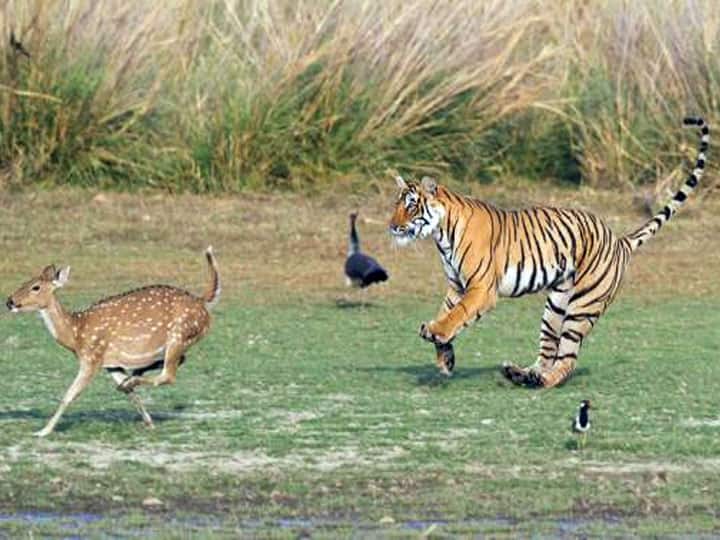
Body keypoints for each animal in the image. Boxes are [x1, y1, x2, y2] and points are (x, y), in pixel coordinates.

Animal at [5, 247, 221, 437]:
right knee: (177, 362)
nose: (9, 301)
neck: (75, 335)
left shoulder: (92, 357)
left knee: (169, 374)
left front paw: (43, 431)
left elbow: (69, 395)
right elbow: (131, 395)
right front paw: (149, 422)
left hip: (178, 335)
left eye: (36, 287)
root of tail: (202, 302)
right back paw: (133, 378)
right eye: (25, 282)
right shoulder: (110, 364)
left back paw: (133, 378)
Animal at [388, 117, 709, 388]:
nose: (392, 226)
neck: (442, 234)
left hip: (582, 306)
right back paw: (521, 374)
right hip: (556, 305)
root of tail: (619, 241)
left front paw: (437, 332)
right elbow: (448, 311)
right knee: (547, 354)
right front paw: (445, 358)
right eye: (396, 204)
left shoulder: (480, 288)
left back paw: (539, 380)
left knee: (567, 360)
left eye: (412, 205)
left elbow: (457, 315)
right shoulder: (456, 285)